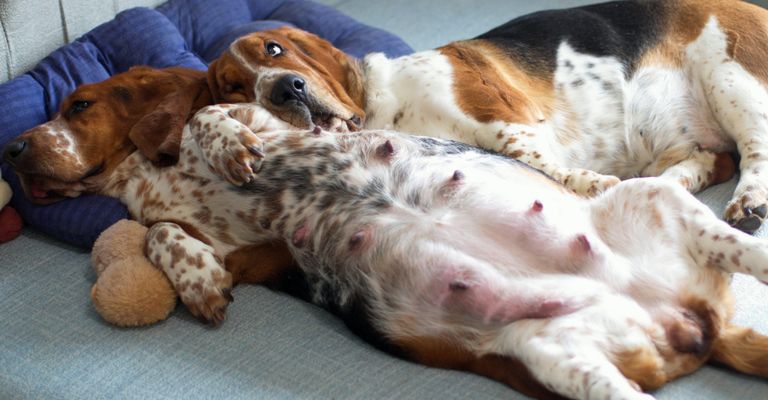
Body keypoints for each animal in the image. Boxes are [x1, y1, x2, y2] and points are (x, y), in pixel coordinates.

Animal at [6, 65, 768, 400]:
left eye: (78, 106)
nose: (11, 150)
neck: (147, 178)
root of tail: (690, 320)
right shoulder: (252, 253)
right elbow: (160, 236)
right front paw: (198, 283)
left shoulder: (277, 127)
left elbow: (208, 117)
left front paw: (226, 146)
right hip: (559, 357)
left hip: (656, 200)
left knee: (748, 250)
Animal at [204, 0, 768, 233]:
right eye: (234, 86)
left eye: (274, 49)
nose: (284, 89)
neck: (388, 107)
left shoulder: (504, 115)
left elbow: (534, 159)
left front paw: (591, 183)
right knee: (711, 160)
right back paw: (665, 185)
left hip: (731, 79)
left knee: (753, 152)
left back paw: (747, 203)